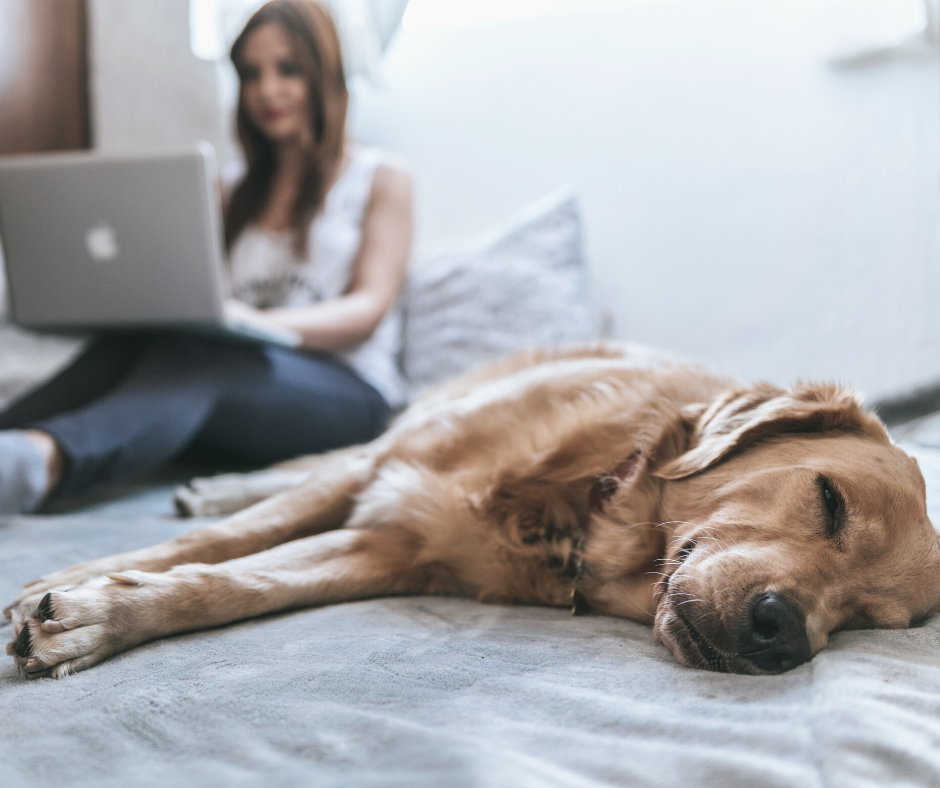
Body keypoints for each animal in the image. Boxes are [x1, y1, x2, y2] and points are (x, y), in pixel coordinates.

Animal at [7, 342, 940, 680]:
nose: (781, 633)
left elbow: (232, 584)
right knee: (302, 469)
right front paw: (76, 582)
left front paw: (97, 615)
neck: (583, 499)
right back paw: (215, 483)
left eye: (869, 620)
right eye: (828, 499)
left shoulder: (387, 548)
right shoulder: (384, 474)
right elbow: (232, 538)